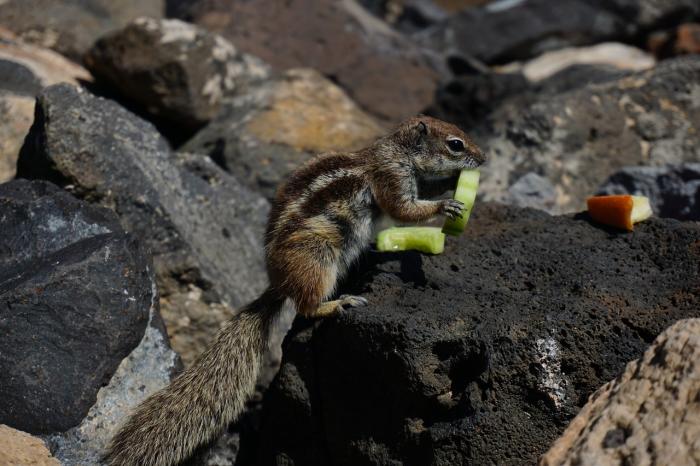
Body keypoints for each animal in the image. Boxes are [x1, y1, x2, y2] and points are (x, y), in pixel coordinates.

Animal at [105, 116, 485, 466]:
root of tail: (278, 285)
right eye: (455, 144)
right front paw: (444, 205)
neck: (398, 151)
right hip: (318, 257)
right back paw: (338, 303)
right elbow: (403, 209)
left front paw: (451, 188)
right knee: (305, 307)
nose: (482, 159)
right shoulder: (390, 178)